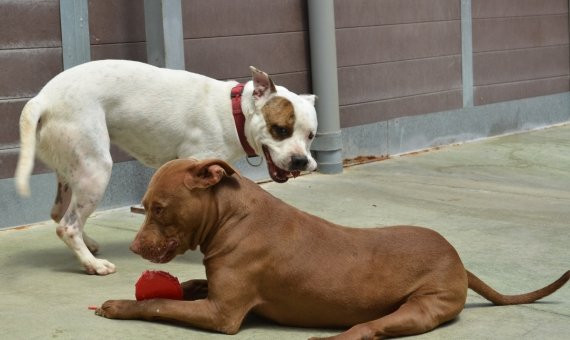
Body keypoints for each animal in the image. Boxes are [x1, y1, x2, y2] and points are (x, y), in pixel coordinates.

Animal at [14, 59, 316, 274]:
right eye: (280, 129)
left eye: (311, 135)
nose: (301, 161)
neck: (234, 112)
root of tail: (43, 99)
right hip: (96, 170)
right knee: (67, 226)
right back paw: (93, 265)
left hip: (72, 173)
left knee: (60, 214)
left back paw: (88, 246)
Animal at [95, 159, 564, 338]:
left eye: (158, 208)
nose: (133, 246)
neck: (232, 217)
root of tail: (459, 260)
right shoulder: (217, 293)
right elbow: (186, 286)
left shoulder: (222, 315)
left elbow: (157, 305)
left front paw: (118, 305)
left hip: (421, 307)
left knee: (372, 328)